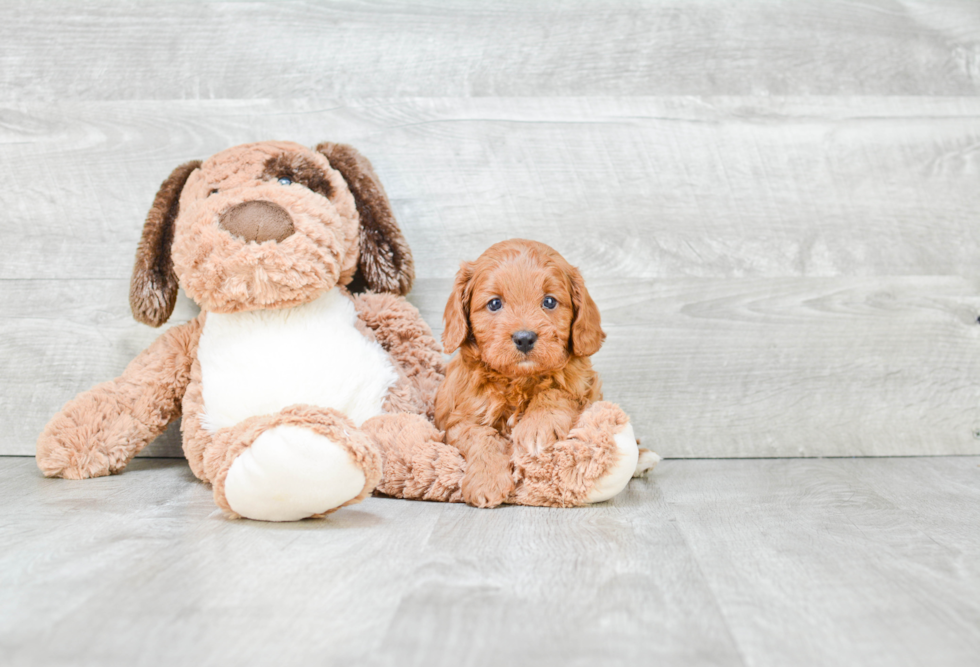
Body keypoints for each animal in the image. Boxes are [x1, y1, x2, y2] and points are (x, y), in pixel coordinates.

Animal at [436, 239, 660, 506]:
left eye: (550, 302)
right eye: (494, 303)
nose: (524, 338)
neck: (519, 379)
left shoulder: (583, 384)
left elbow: (557, 391)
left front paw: (536, 426)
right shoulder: (456, 418)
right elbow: (480, 436)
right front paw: (486, 480)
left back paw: (643, 457)